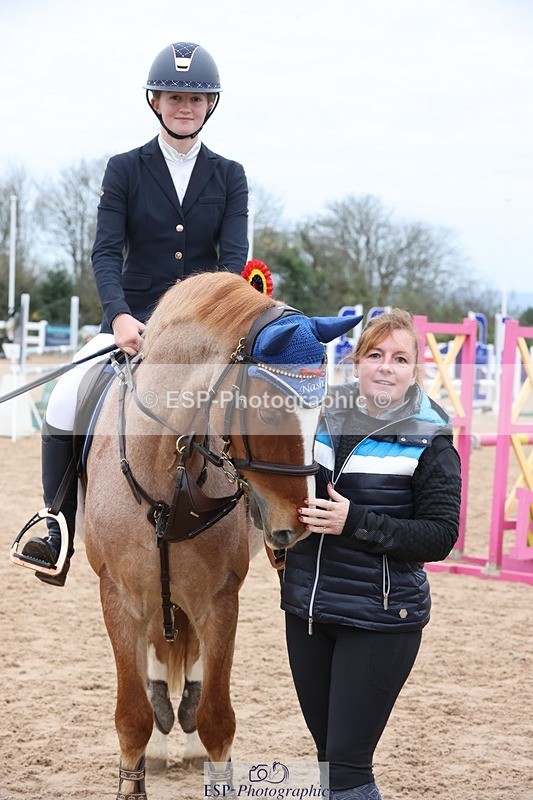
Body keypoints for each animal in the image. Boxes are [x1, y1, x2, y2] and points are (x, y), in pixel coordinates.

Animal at [81, 271, 356, 799]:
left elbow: (216, 719)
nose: (298, 524)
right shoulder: (118, 598)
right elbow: (131, 718)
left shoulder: (219, 601)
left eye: (323, 414)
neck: (168, 479)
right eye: (267, 414)